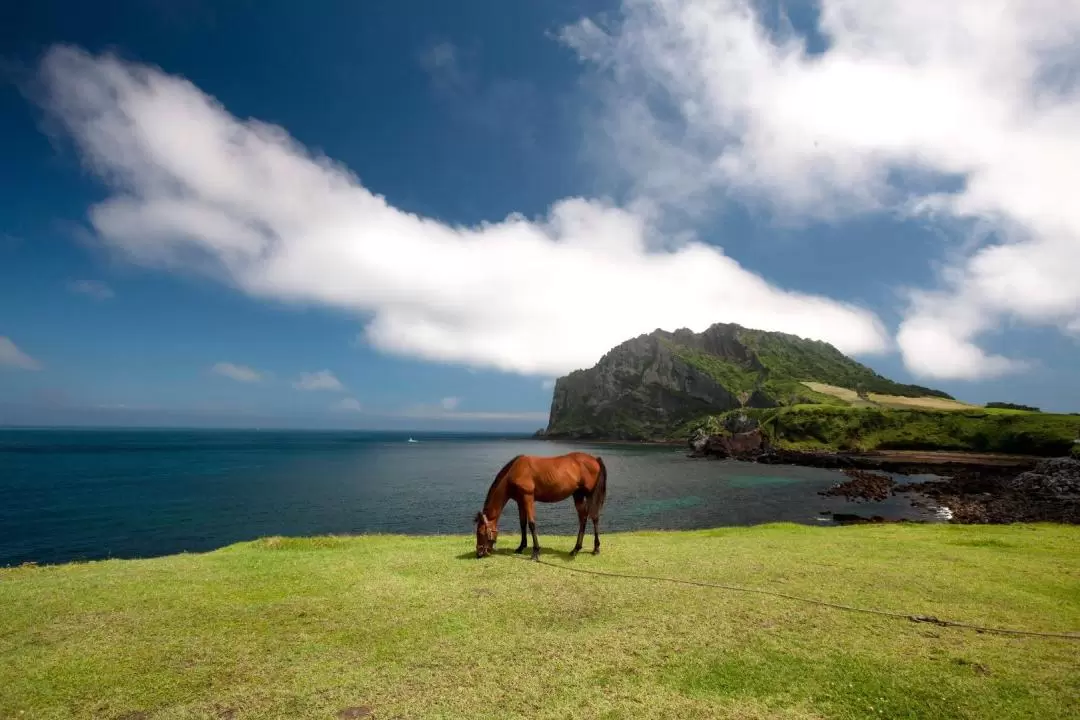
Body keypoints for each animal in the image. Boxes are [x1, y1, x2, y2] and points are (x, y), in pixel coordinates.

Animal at [475, 453, 609, 561]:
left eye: (480, 532)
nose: (479, 553)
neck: (515, 471)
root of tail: (595, 459)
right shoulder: (520, 501)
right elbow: (522, 524)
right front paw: (521, 547)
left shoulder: (528, 497)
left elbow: (531, 524)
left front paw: (535, 552)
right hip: (578, 495)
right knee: (584, 518)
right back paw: (576, 549)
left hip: (590, 494)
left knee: (594, 517)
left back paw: (595, 548)